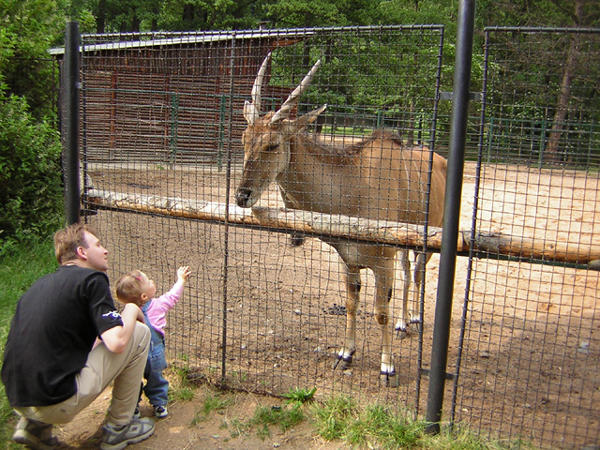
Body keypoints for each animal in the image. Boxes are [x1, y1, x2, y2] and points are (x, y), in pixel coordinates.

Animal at [234, 51, 446, 384]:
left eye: (273, 144)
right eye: (244, 138)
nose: (242, 195)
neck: (352, 186)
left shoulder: (381, 261)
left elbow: (380, 311)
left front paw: (387, 367)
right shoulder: (350, 260)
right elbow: (350, 304)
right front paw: (345, 354)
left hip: (429, 237)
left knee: (419, 273)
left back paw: (414, 318)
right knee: (408, 270)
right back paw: (403, 324)